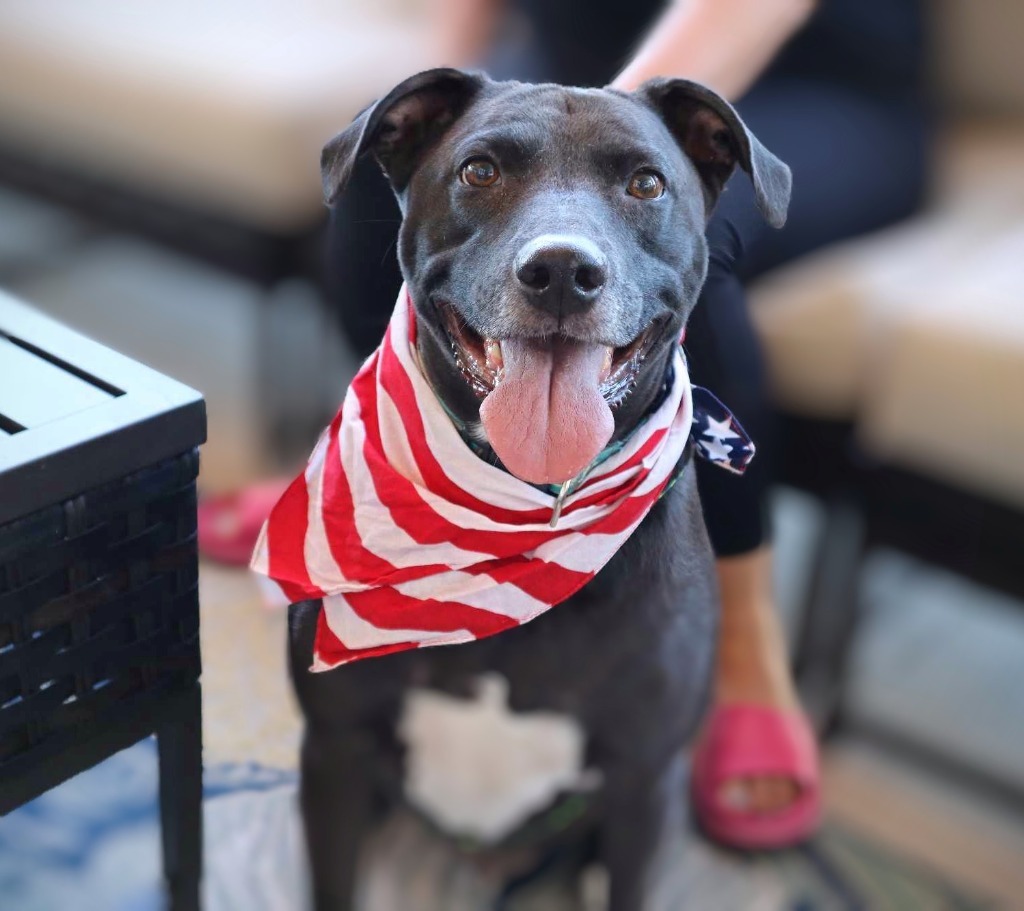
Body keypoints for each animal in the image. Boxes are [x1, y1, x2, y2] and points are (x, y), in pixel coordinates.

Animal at [284, 67, 786, 904]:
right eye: (480, 171)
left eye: (646, 183)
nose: (561, 272)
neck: (524, 513)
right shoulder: (334, 751)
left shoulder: (643, 783)